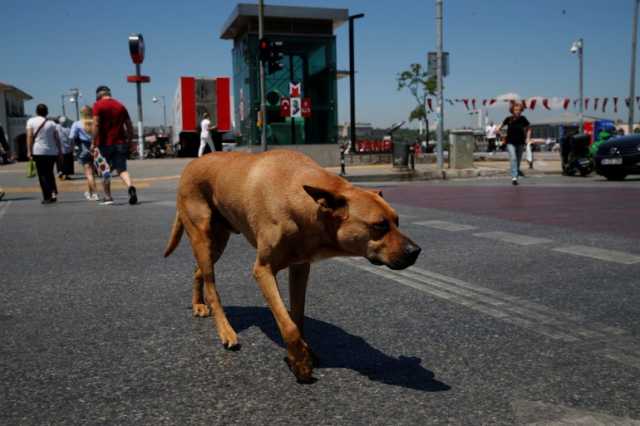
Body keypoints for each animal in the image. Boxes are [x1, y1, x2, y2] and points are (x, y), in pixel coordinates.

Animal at [166, 150, 420, 382]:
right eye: (379, 225)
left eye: (397, 221)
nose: (416, 251)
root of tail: (191, 164)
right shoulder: (263, 270)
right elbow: (287, 325)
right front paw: (300, 364)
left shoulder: (300, 268)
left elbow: (297, 317)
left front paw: (303, 351)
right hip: (202, 235)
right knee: (212, 286)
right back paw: (226, 330)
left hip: (218, 241)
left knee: (197, 271)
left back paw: (198, 304)